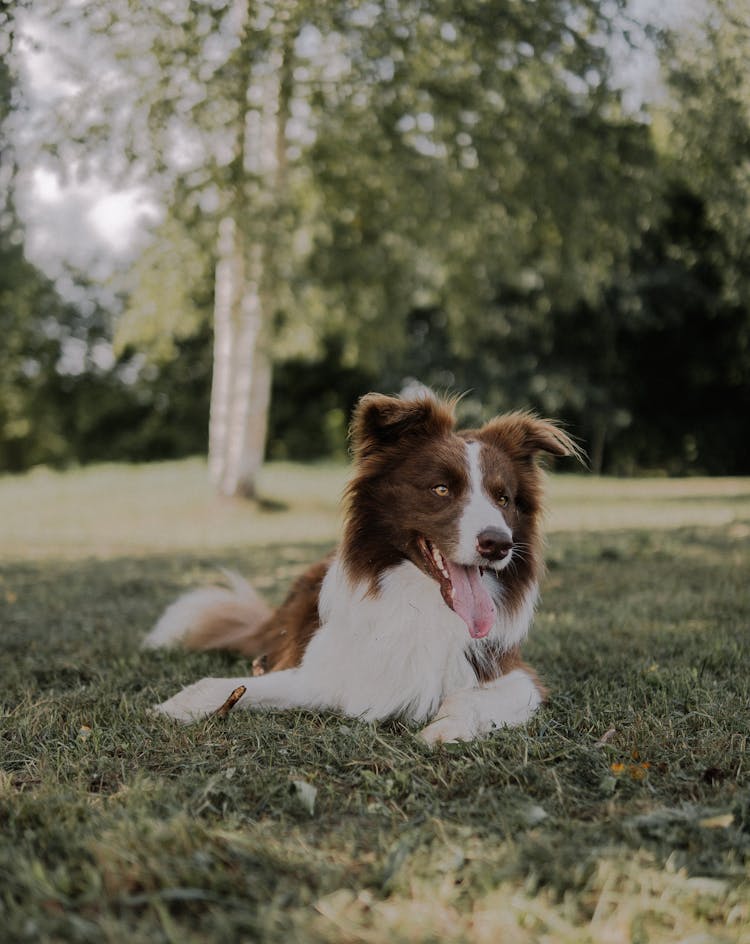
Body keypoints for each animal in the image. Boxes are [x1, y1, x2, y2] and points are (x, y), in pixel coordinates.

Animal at [147, 392, 580, 744]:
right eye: (441, 489)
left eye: (503, 498)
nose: (498, 544)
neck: (422, 604)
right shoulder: (323, 671)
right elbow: (217, 686)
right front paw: (169, 707)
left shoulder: (517, 677)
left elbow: (472, 699)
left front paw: (445, 729)